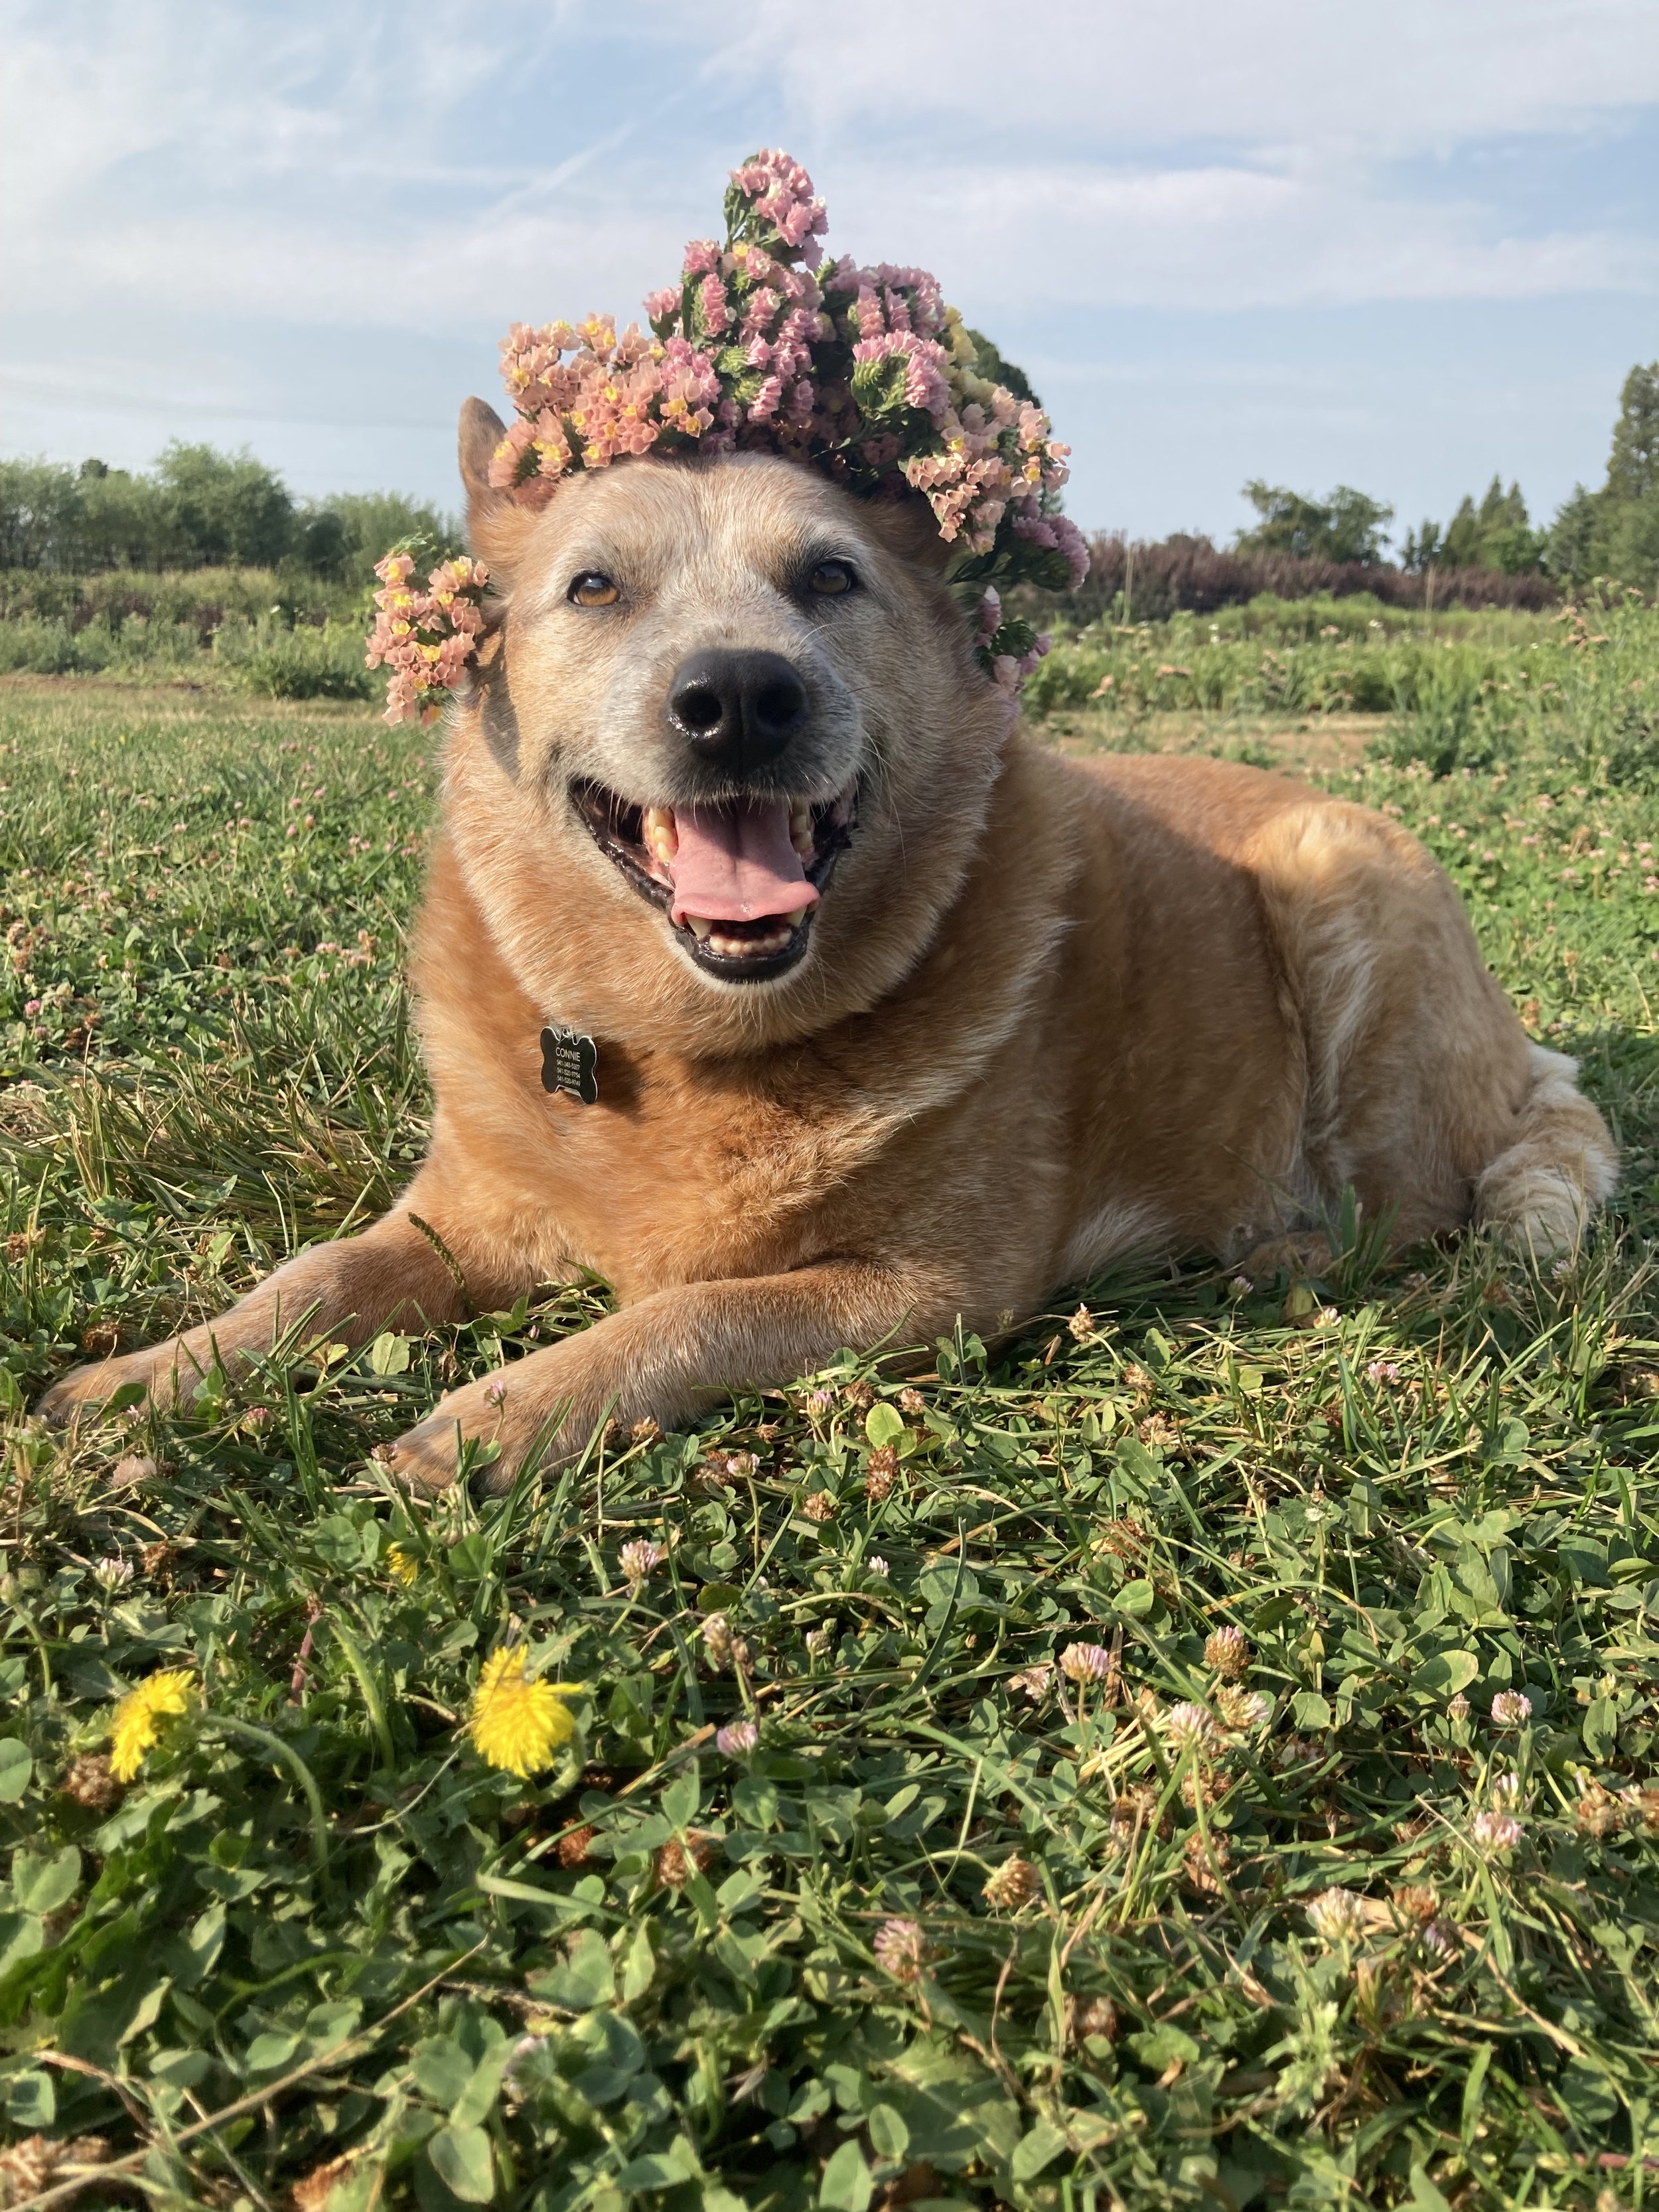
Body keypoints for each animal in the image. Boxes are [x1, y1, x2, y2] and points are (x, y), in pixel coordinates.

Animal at [38, 407, 1628, 1495]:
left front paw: (499, 1411)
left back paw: (1275, 1253)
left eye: (829, 577)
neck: (683, 1052)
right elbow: (306, 1282)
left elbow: (683, 1314)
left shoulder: (931, 1290)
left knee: (1408, 1212)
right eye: (595, 587)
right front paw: (145, 1375)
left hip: (1342, 891)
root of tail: (1522, 1045)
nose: (739, 696)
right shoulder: (453, 1218)